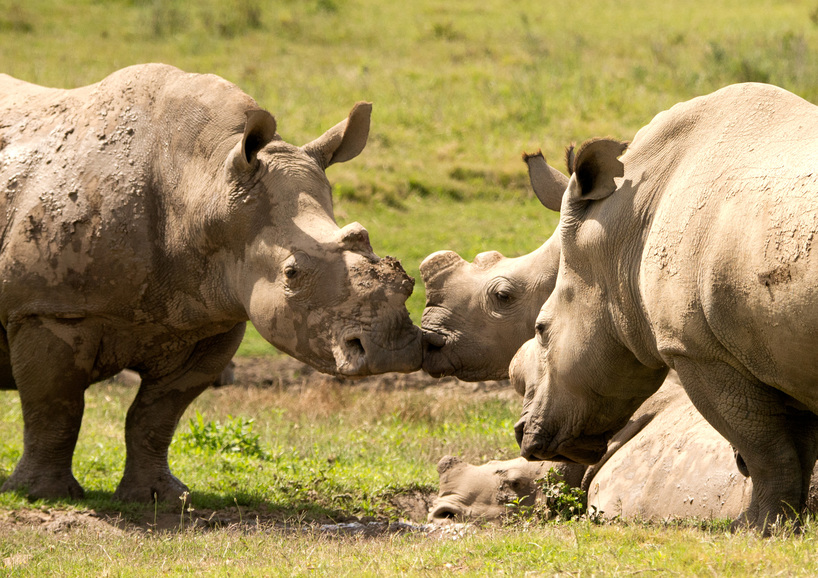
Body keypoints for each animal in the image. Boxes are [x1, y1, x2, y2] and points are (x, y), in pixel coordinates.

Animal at [0, 63, 420, 500]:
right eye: (291, 274)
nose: (391, 351)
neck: (204, 188)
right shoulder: (49, 309)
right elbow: (55, 409)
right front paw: (42, 494)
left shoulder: (212, 319)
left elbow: (156, 416)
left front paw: (159, 497)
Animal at [510, 82, 818, 532]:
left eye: (541, 329)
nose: (520, 433)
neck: (621, 236)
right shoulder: (779, 347)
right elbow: (797, 450)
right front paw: (784, 526)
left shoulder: (698, 351)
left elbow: (765, 452)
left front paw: (754, 528)